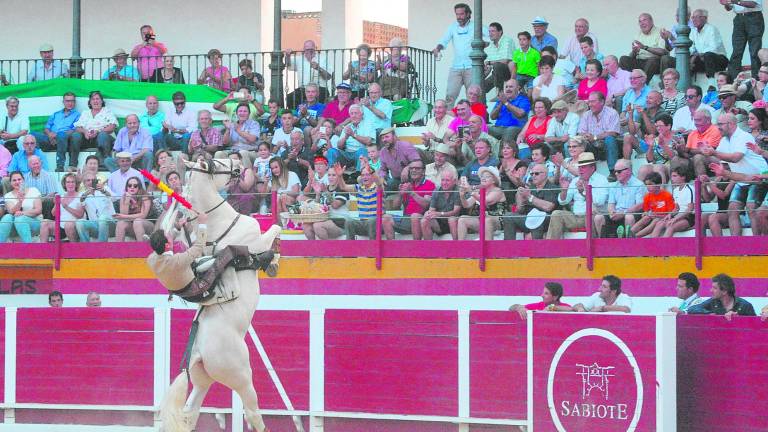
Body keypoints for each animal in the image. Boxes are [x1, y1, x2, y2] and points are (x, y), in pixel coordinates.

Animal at [159, 158, 282, 432]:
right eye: (215, 162)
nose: (238, 164)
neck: (219, 222)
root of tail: (197, 352)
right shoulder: (256, 239)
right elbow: (275, 228)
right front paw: (274, 259)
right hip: (242, 376)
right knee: (253, 411)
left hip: (203, 379)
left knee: (189, 412)